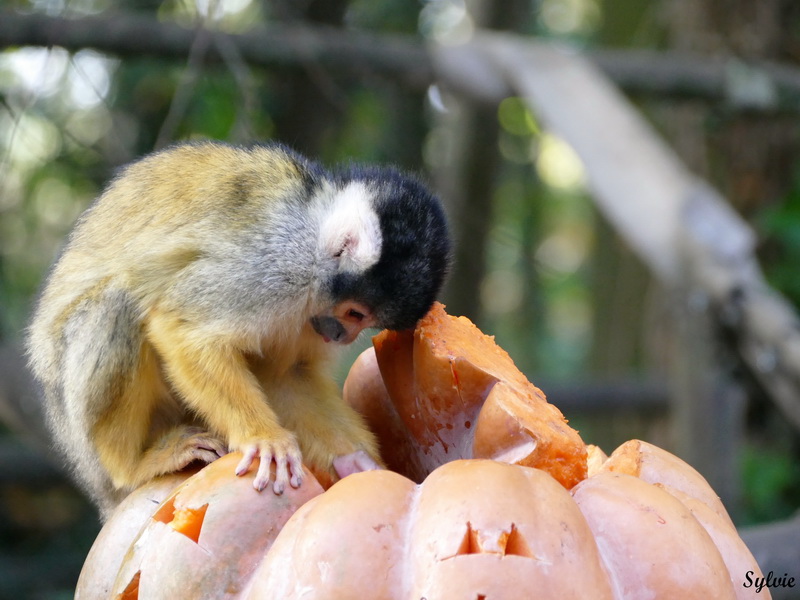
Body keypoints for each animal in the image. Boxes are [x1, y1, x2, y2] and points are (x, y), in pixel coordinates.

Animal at [26, 141, 450, 516]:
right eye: (355, 313)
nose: (342, 335)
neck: (312, 230)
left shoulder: (306, 312)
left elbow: (284, 377)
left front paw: (358, 463)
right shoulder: (277, 265)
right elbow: (187, 331)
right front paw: (264, 439)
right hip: (80, 438)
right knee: (117, 302)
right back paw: (131, 465)